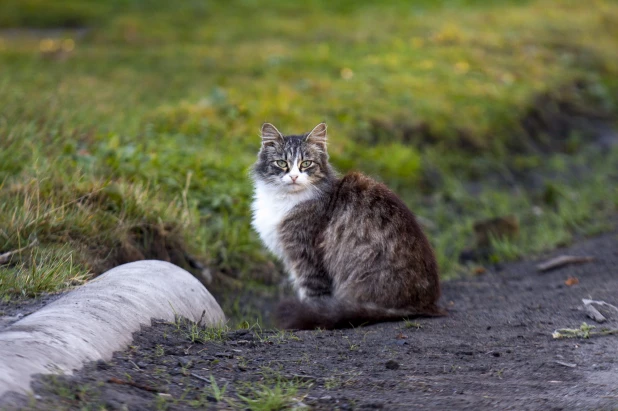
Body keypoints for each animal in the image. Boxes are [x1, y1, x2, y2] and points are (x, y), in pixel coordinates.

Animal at [250, 123, 442, 332]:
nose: (293, 177)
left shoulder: (307, 258)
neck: (284, 200)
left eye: (306, 164)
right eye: (282, 163)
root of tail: (425, 304)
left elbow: (313, 298)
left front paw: (311, 321)